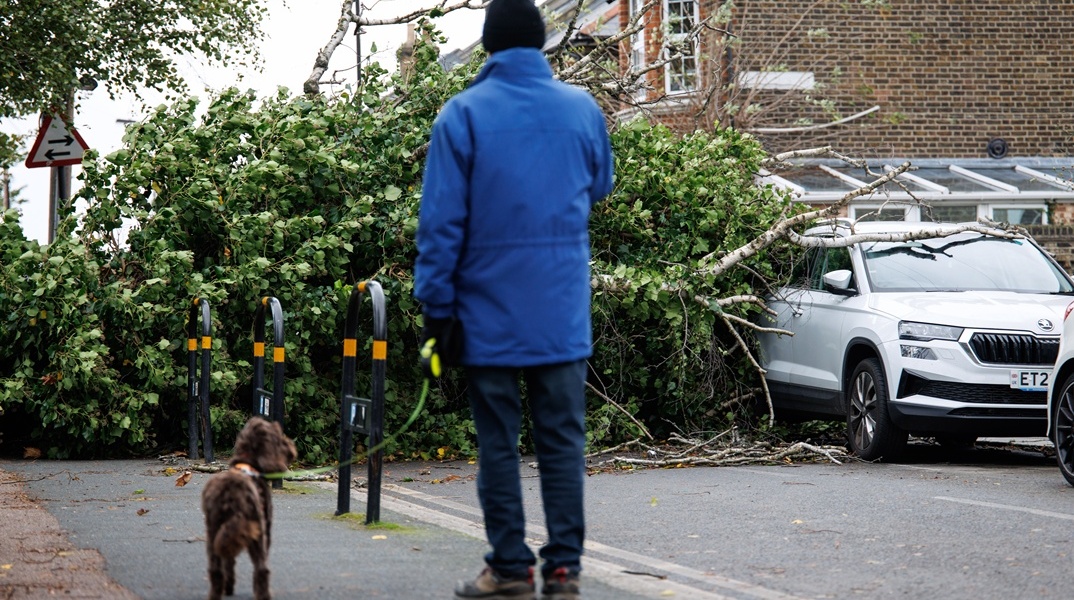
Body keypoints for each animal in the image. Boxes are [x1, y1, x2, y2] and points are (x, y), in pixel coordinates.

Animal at [199, 418, 294, 600]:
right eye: (279, 438)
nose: (292, 449)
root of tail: (230, 497)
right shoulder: (265, 526)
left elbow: (229, 561)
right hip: (256, 532)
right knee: (262, 569)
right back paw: (264, 595)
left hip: (213, 533)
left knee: (216, 570)